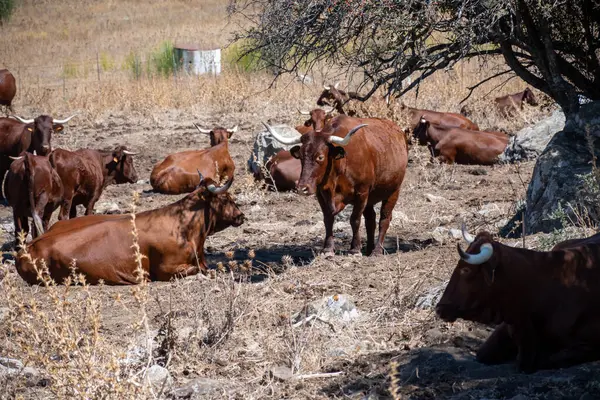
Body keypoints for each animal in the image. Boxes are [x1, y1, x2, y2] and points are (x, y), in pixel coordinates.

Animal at [16, 172, 246, 284]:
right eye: (226, 197)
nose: (241, 216)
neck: (186, 229)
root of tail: (28, 248)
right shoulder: (165, 269)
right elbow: (200, 270)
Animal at [264, 114, 410, 255]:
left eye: (320, 157)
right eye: (300, 156)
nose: (302, 188)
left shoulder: (362, 192)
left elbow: (355, 219)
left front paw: (355, 249)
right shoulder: (321, 194)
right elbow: (328, 219)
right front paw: (328, 248)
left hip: (393, 191)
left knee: (384, 219)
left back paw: (377, 250)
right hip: (370, 198)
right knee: (371, 220)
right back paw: (369, 249)